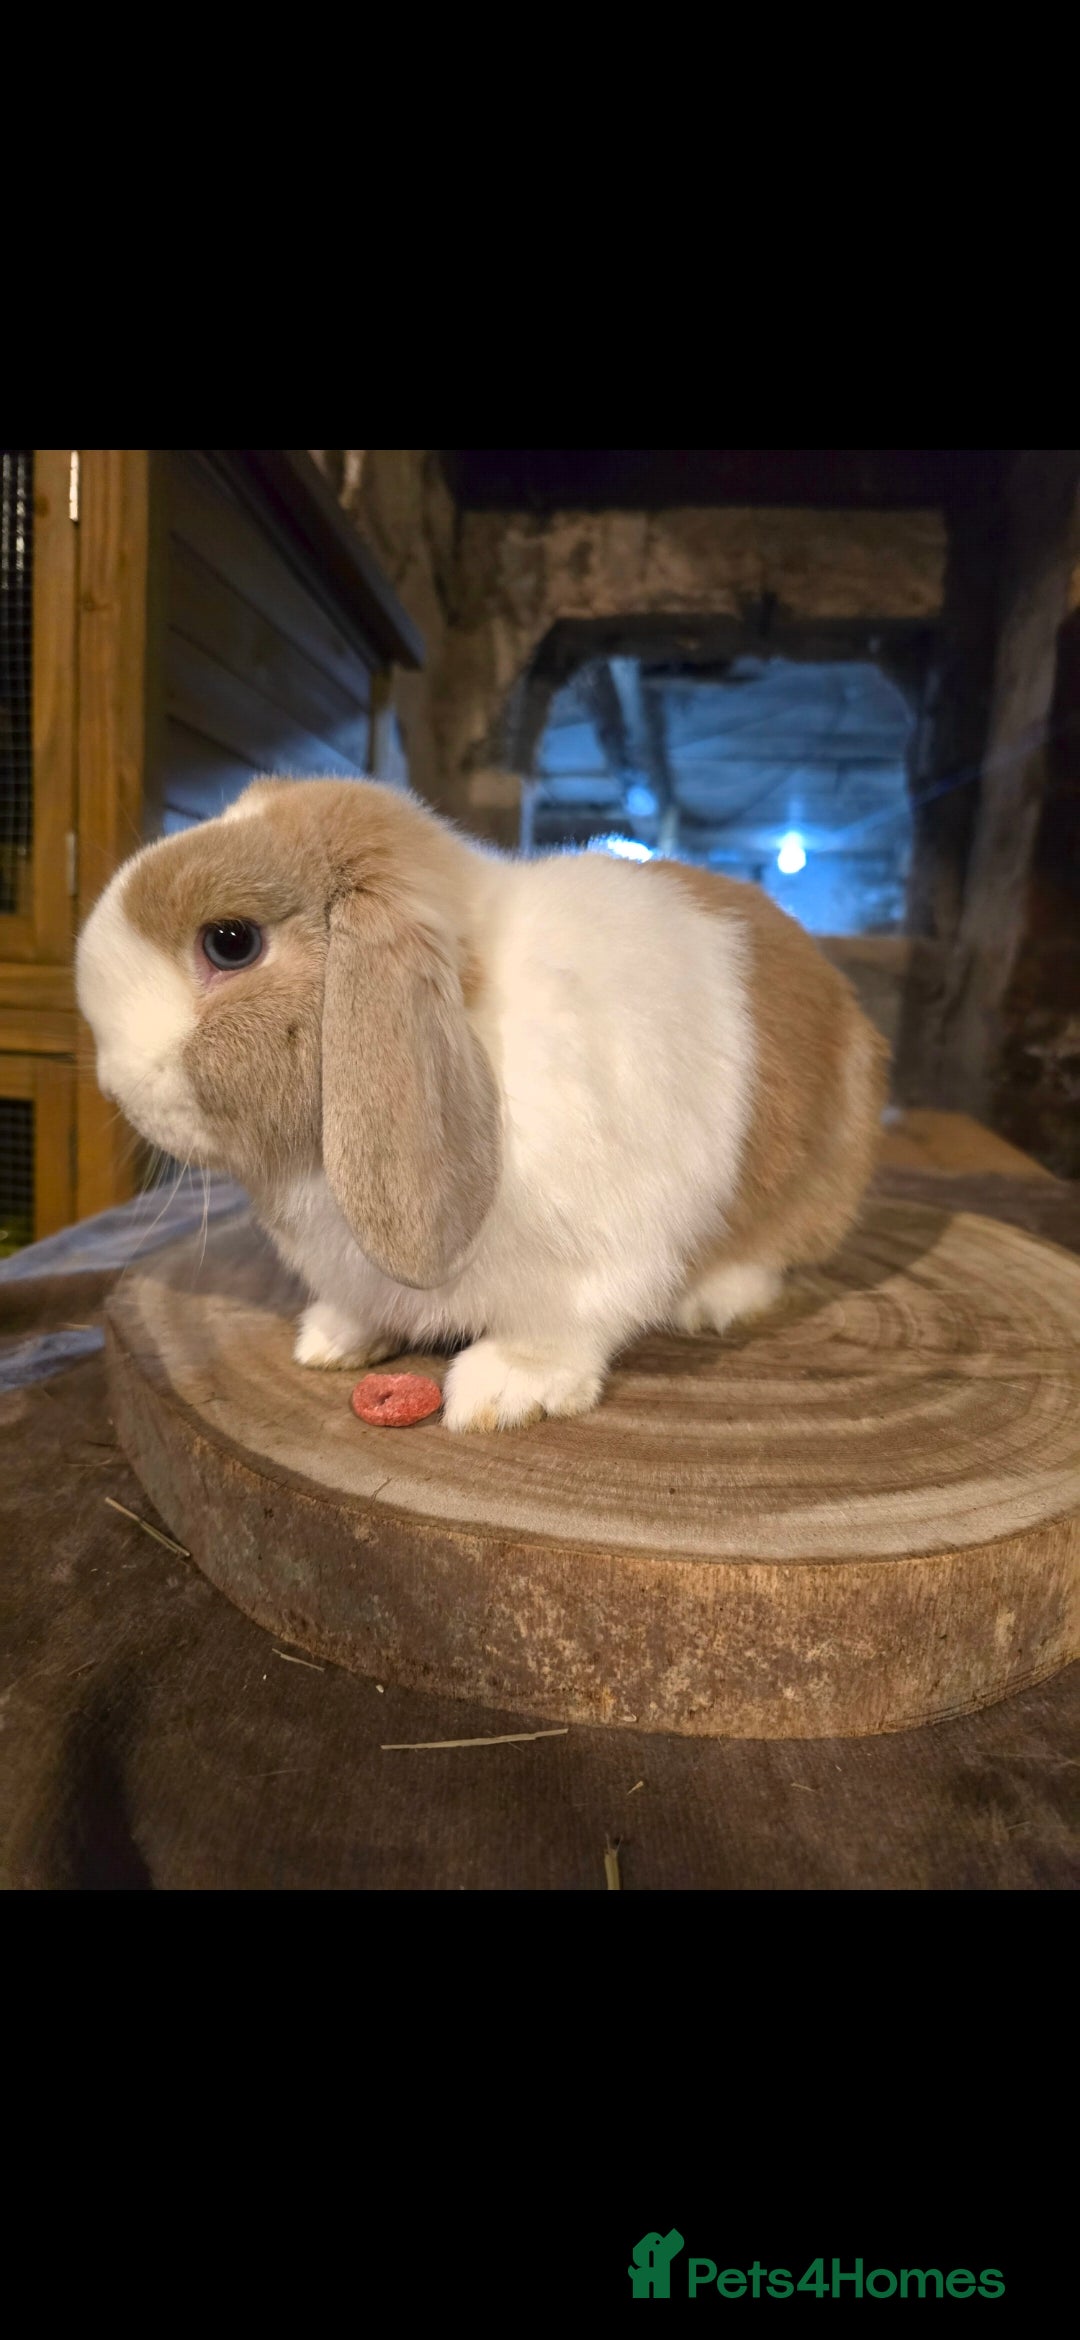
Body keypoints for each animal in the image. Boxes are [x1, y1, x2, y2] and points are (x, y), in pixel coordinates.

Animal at [76, 776, 888, 1432]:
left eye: (230, 942)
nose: (115, 1084)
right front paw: (331, 1342)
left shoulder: (595, 1261)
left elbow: (560, 1330)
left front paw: (503, 1394)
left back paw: (713, 1300)